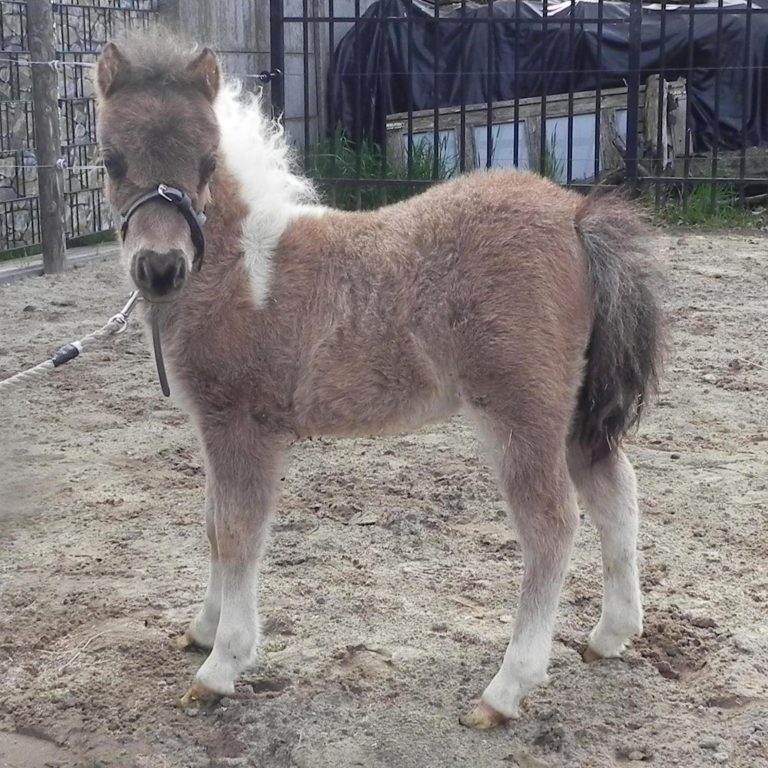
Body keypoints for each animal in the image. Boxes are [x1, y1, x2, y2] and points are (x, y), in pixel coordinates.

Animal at [94, 31, 663, 729]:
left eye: (206, 162)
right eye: (112, 160)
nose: (160, 269)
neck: (240, 266)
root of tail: (577, 215)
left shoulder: (243, 425)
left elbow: (237, 534)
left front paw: (220, 666)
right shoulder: (214, 427)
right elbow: (211, 523)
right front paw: (202, 630)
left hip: (519, 409)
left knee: (554, 524)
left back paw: (504, 691)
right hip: (574, 409)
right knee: (616, 494)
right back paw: (611, 635)